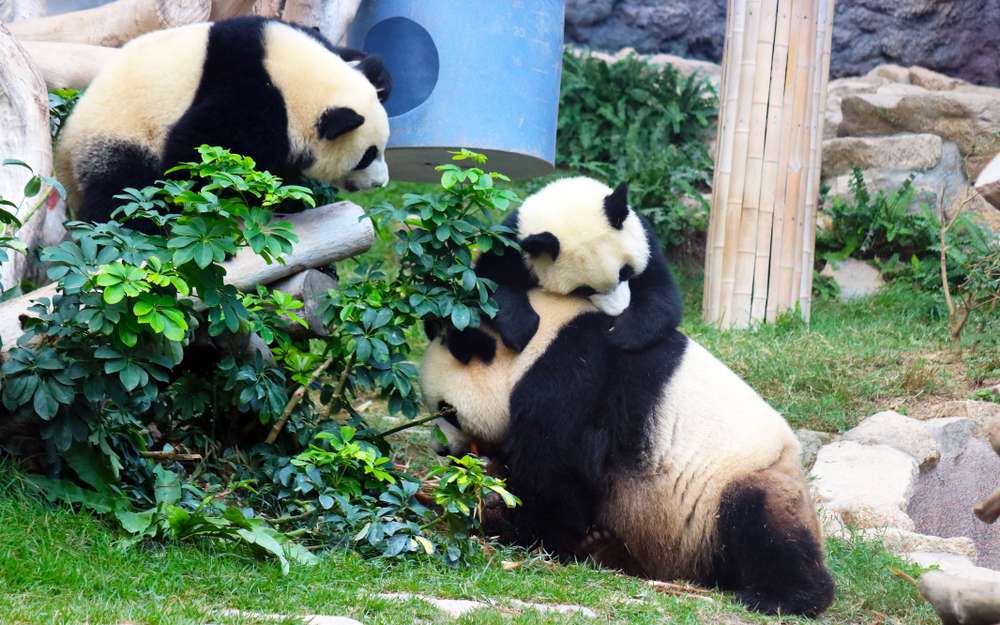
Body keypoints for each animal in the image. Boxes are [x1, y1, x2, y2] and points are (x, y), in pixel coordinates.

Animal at [55, 16, 391, 230]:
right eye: (368, 156)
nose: (381, 184)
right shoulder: (249, 100)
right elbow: (196, 154)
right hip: (119, 135)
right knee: (125, 190)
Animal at [420, 290, 835, 617]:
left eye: (446, 411)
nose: (441, 449)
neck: (531, 345)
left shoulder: (568, 380)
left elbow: (555, 474)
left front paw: (521, 527)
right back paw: (606, 548)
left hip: (741, 481)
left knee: (764, 523)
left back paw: (780, 597)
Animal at [439, 177, 682, 364]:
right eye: (585, 290)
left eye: (625, 272)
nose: (619, 310)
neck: (564, 201)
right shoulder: (510, 243)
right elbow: (488, 281)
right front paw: (521, 330)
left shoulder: (645, 238)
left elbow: (661, 294)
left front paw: (622, 334)